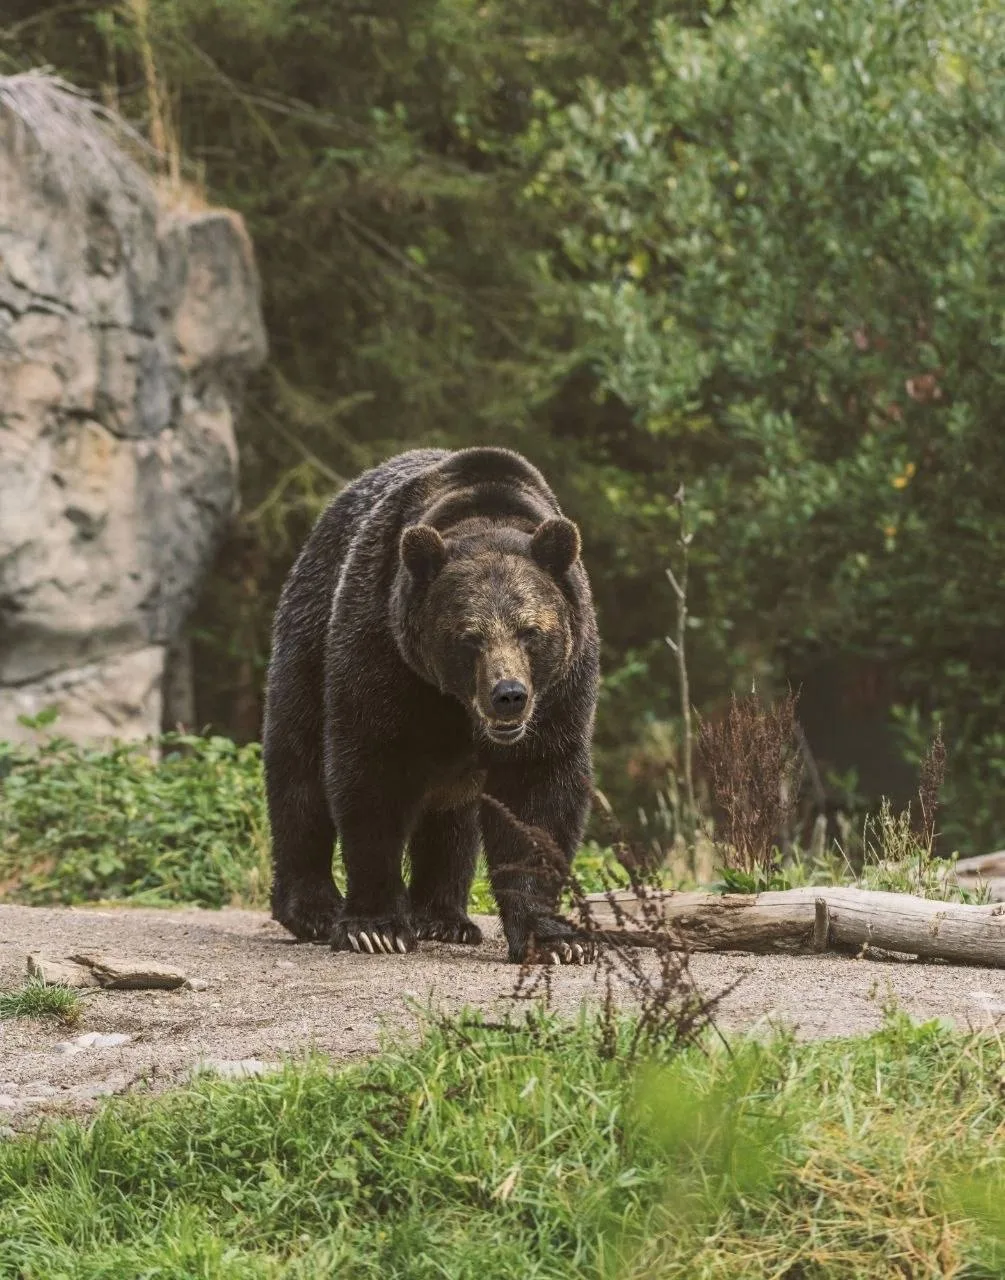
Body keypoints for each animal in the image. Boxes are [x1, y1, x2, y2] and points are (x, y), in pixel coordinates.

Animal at [262, 446, 600, 964]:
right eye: (469, 637)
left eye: (530, 631)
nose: (509, 695)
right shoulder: (382, 652)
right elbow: (370, 776)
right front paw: (375, 928)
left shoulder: (561, 693)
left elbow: (538, 796)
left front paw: (556, 939)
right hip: (308, 638)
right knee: (298, 772)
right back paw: (313, 909)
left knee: (452, 819)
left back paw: (445, 919)